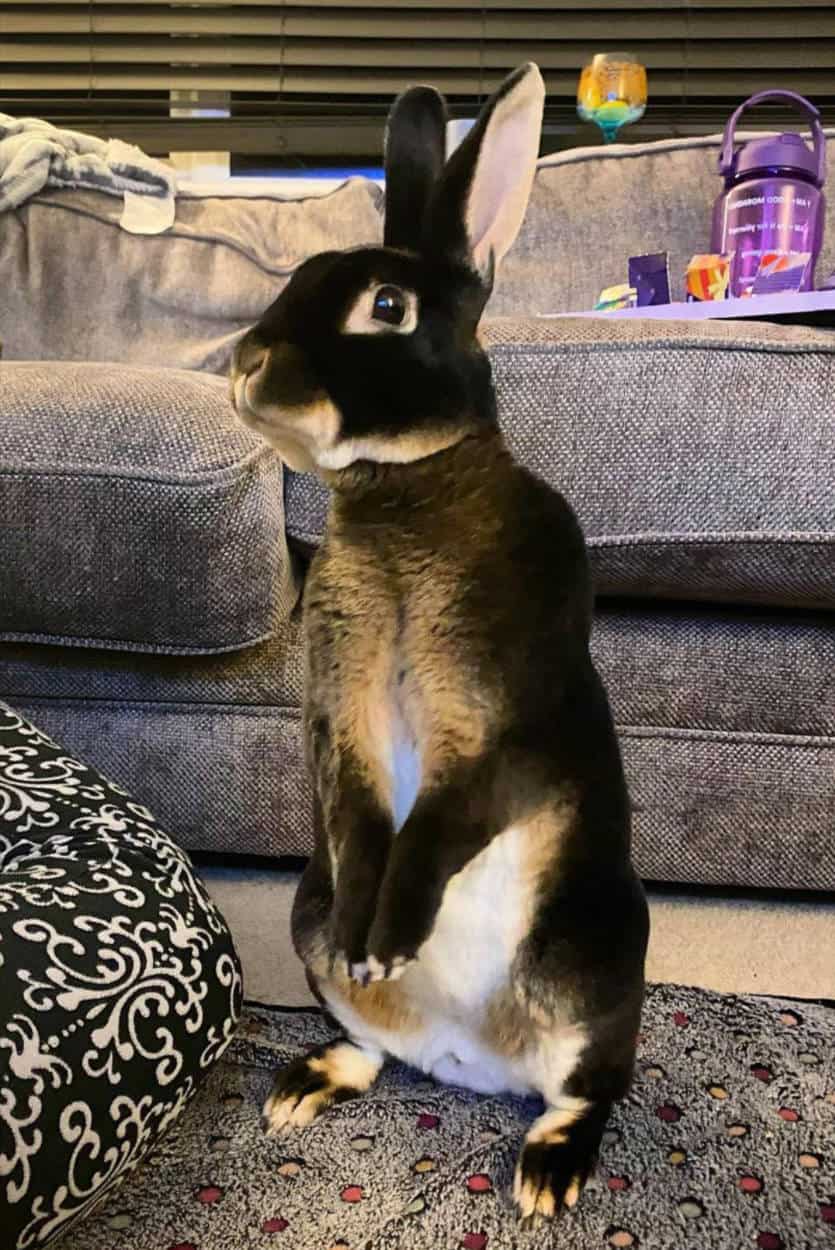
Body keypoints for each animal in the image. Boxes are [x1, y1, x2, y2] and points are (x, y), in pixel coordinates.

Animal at [230, 62, 649, 1223]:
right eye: (297, 276)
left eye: (385, 308)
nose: (248, 361)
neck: (403, 488)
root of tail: (474, 1063)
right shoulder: (347, 722)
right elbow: (366, 812)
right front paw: (370, 946)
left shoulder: (501, 729)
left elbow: (444, 820)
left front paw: (390, 937)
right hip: (307, 917)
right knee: (373, 1045)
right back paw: (306, 1079)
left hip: (598, 962)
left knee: (588, 1088)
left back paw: (547, 1177)